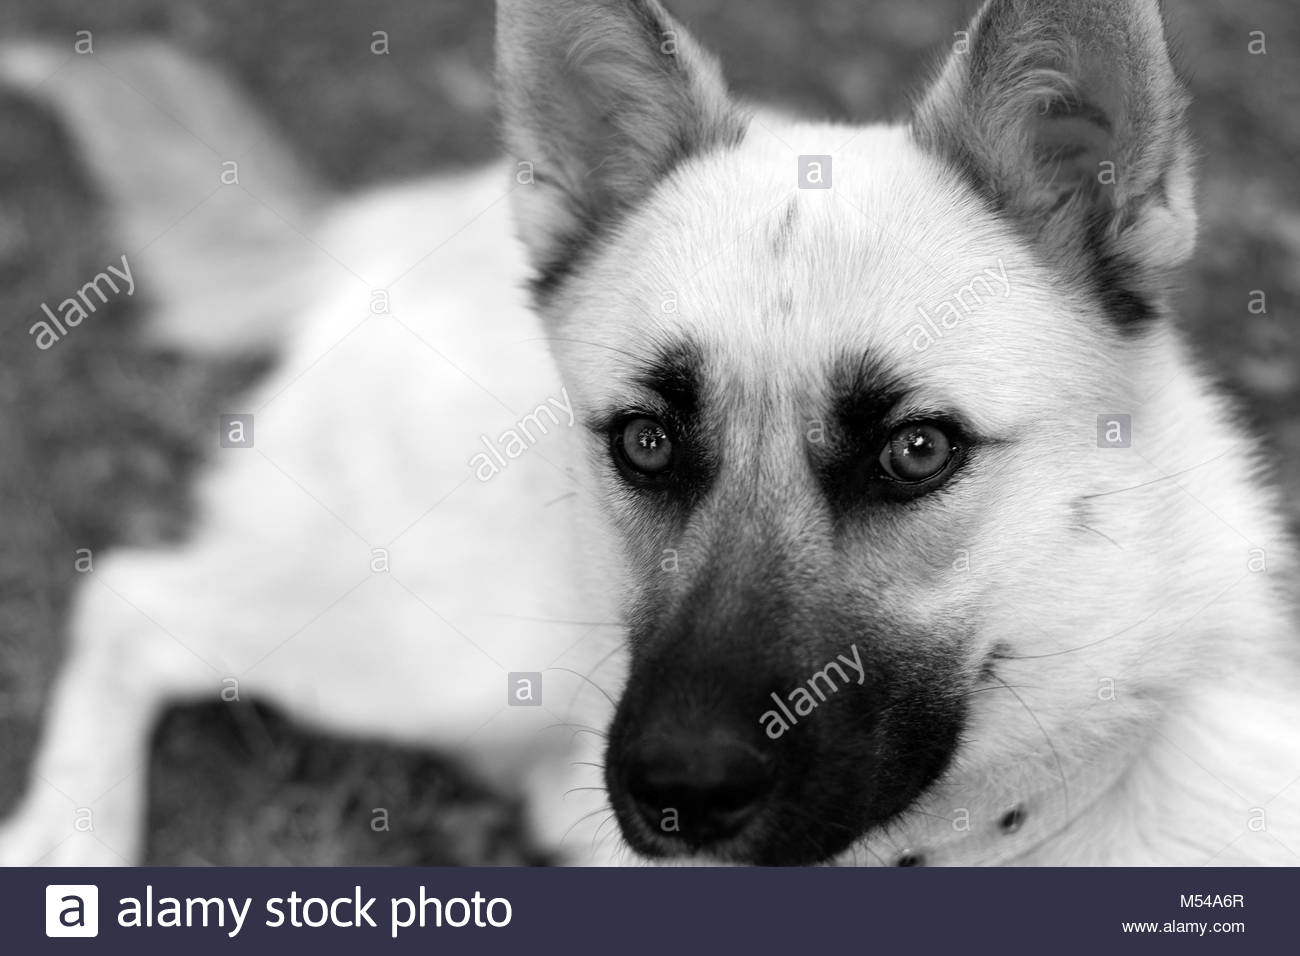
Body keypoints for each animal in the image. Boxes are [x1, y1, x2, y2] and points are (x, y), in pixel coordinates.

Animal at [0, 0, 1294, 868]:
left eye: (916, 450)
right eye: (646, 440)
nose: (679, 791)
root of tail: (374, 232)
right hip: (444, 652)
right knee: (129, 598)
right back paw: (66, 839)